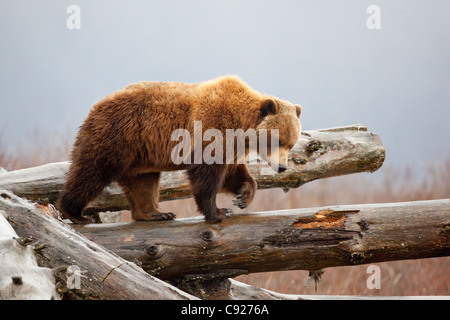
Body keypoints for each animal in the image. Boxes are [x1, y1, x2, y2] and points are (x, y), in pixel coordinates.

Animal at [57, 76, 302, 224]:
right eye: (277, 140)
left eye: (291, 143)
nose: (282, 167)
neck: (241, 126)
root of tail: (96, 106)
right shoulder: (212, 128)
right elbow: (206, 172)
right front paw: (218, 212)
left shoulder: (231, 146)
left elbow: (232, 173)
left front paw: (243, 196)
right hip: (117, 134)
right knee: (92, 170)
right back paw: (74, 212)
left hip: (140, 154)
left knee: (143, 182)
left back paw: (155, 213)